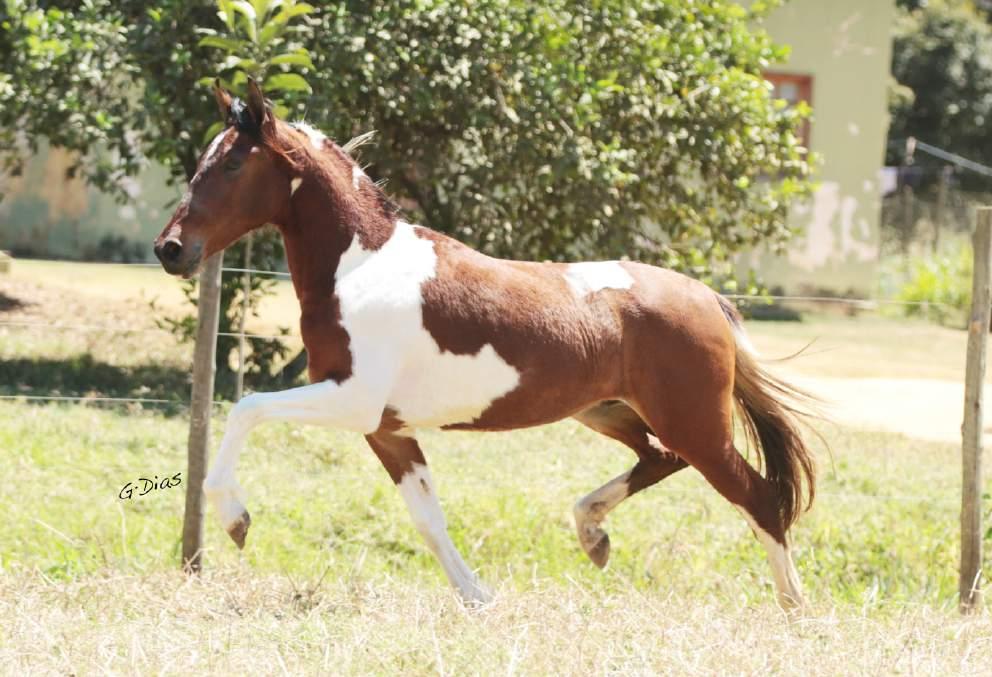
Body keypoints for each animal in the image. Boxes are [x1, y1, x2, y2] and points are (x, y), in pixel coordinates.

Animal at [155, 82, 816, 608]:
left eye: (233, 166)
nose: (170, 249)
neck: (361, 269)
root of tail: (708, 298)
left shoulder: (352, 401)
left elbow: (246, 408)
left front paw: (236, 520)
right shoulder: (387, 428)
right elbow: (427, 517)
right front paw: (477, 597)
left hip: (694, 423)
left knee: (759, 497)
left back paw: (793, 609)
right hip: (610, 412)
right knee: (661, 460)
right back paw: (593, 536)